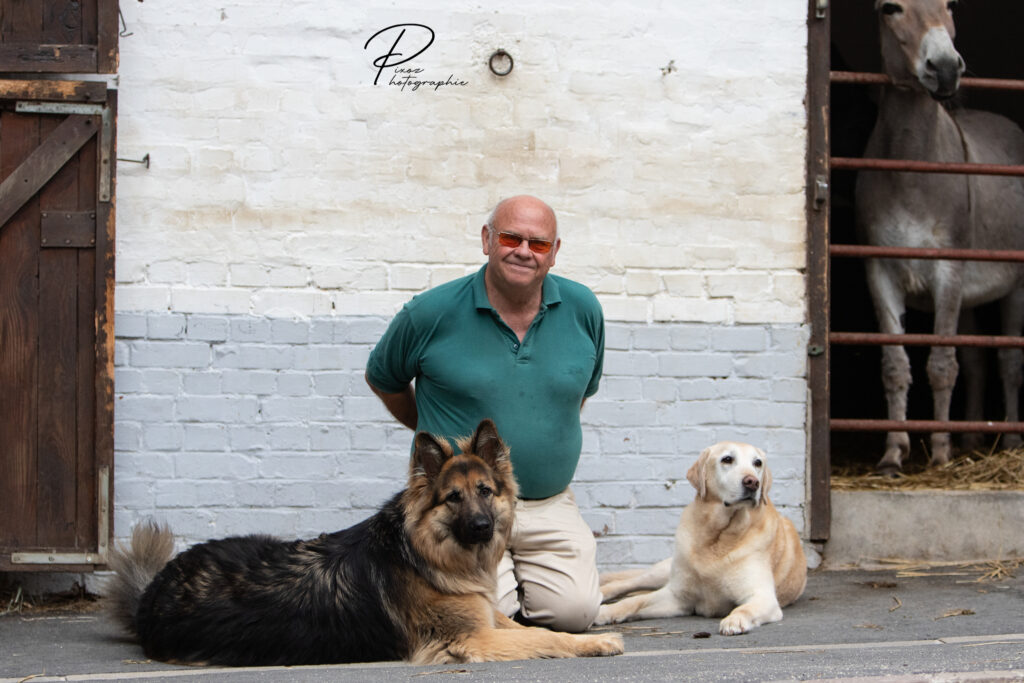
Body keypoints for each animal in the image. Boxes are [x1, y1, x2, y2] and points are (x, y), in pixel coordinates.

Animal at [110, 419, 622, 663]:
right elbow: (543, 639)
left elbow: (540, 631)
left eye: (485, 492)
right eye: (452, 498)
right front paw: (596, 644)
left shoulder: (488, 620)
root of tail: (155, 589)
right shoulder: (473, 638)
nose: (480, 527)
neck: (421, 556)